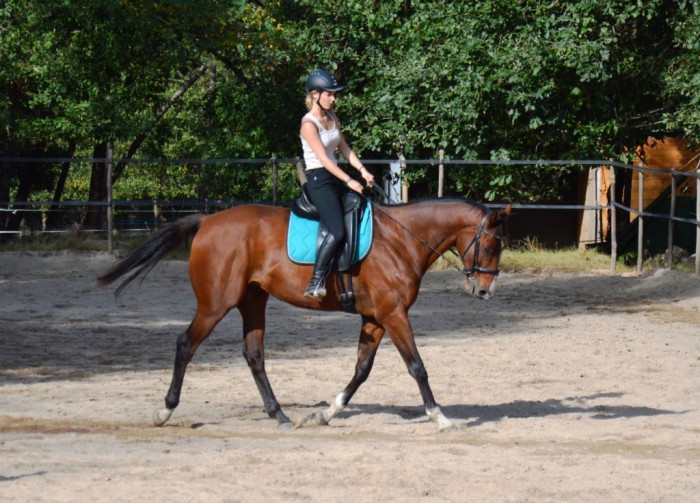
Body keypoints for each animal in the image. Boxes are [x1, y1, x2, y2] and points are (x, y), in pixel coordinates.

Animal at [97, 198, 508, 434]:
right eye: (490, 246)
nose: (486, 291)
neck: (401, 240)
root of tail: (207, 221)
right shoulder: (394, 315)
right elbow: (417, 367)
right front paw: (440, 417)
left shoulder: (376, 318)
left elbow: (361, 370)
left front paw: (325, 414)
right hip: (215, 305)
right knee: (185, 344)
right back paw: (165, 411)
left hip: (252, 301)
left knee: (254, 355)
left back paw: (279, 415)